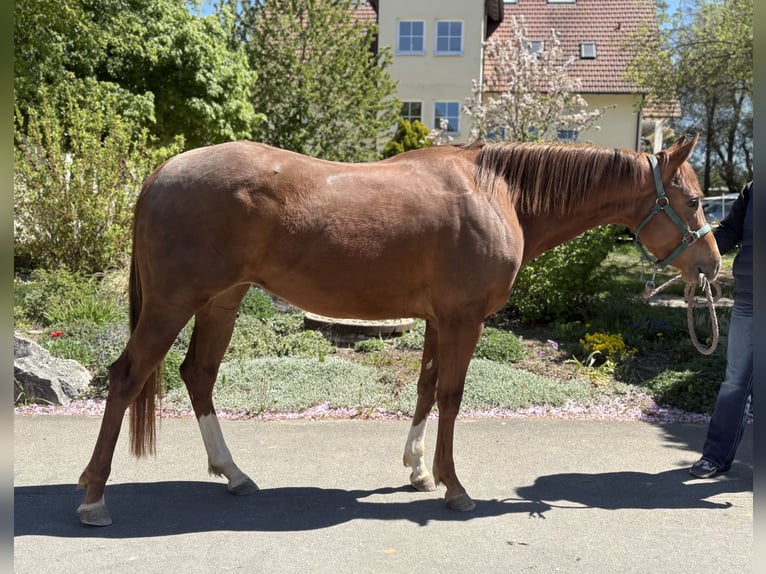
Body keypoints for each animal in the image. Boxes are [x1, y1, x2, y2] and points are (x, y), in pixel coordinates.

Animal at [76, 135, 720, 525]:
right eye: (691, 200)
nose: (712, 265)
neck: (497, 192)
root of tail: (163, 171)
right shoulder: (463, 319)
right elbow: (453, 397)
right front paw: (454, 487)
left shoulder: (438, 318)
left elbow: (426, 389)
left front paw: (416, 470)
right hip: (173, 303)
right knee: (127, 377)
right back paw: (94, 496)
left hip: (222, 302)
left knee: (199, 375)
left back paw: (233, 475)